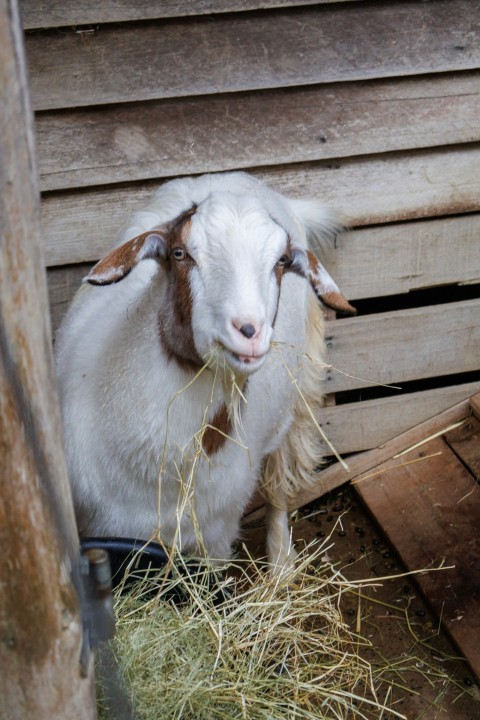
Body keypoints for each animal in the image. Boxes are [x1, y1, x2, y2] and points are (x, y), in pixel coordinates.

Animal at [55, 172, 355, 570]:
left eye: (281, 261)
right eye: (181, 254)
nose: (249, 330)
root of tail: (235, 177)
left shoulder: (213, 542)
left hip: (298, 393)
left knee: (279, 479)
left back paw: (280, 565)